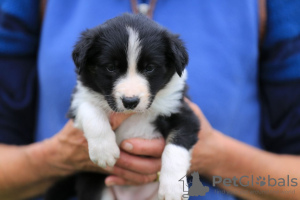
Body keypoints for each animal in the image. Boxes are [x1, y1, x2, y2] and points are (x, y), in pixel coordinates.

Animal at [46, 13, 199, 199]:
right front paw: (104, 151)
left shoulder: (183, 112)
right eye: (111, 67)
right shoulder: (79, 98)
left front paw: (173, 188)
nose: (130, 101)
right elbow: (91, 110)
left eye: (150, 68)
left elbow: (176, 147)